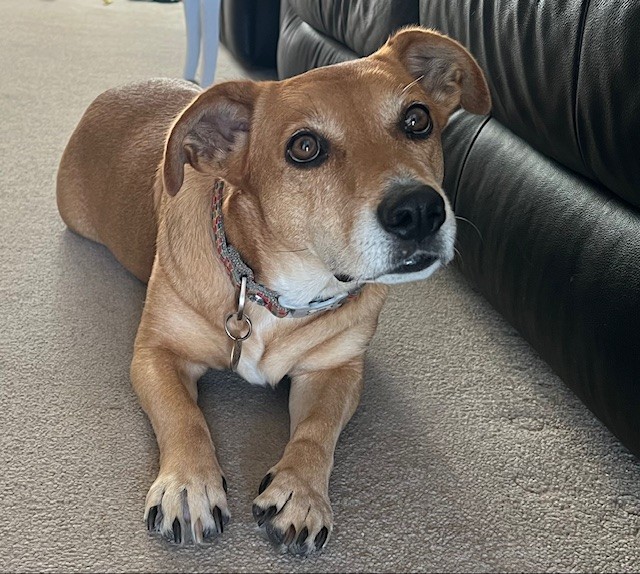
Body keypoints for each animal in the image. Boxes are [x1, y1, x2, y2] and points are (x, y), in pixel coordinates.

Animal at [56, 27, 490, 555]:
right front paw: (189, 484)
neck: (277, 293)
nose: (420, 211)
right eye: (304, 147)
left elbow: (316, 431)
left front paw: (301, 494)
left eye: (417, 120)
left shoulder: (336, 369)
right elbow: (183, 416)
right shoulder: (155, 353)